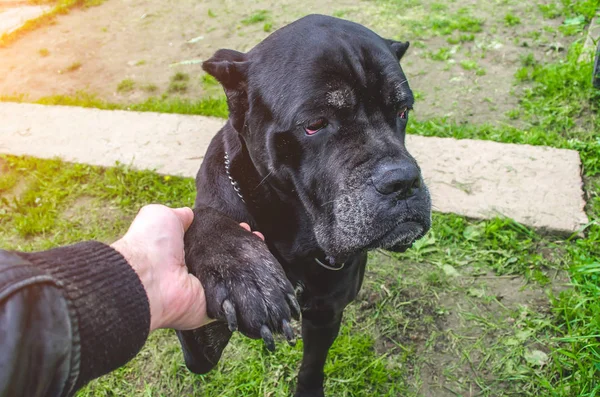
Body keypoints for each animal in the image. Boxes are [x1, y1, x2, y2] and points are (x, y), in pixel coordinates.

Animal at [177, 14, 432, 396]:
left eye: (403, 111)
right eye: (314, 124)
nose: (403, 180)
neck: (292, 237)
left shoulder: (327, 314)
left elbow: (312, 365)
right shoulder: (199, 349)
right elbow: (199, 218)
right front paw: (240, 266)